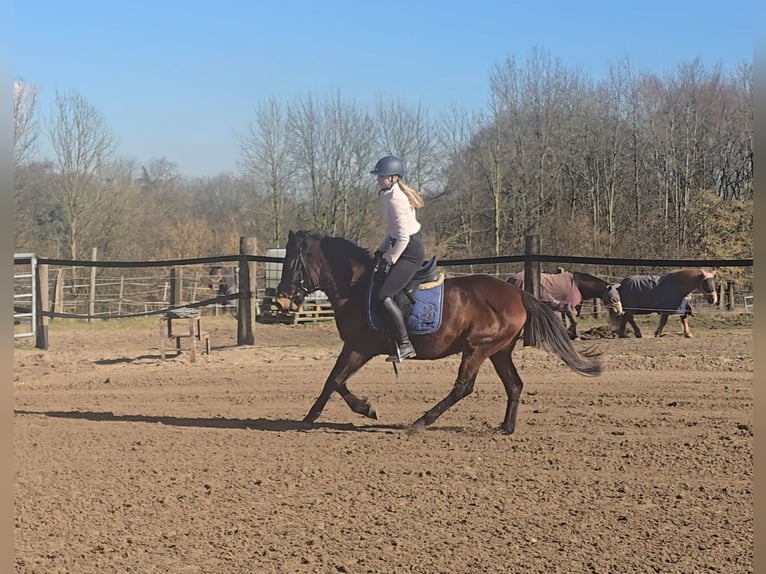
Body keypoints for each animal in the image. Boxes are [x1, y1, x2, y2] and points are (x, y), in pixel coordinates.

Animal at [272, 232, 604, 434]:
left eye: (293, 263)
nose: (281, 300)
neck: (357, 287)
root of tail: (517, 293)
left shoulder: (359, 347)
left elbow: (336, 381)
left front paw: (362, 410)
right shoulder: (355, 347)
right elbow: (333, 381)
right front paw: (313, 417)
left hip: (477, 348)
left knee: (463, 387)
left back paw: (422, 421)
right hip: (498, 351)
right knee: (514, 385)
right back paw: (506, 427)